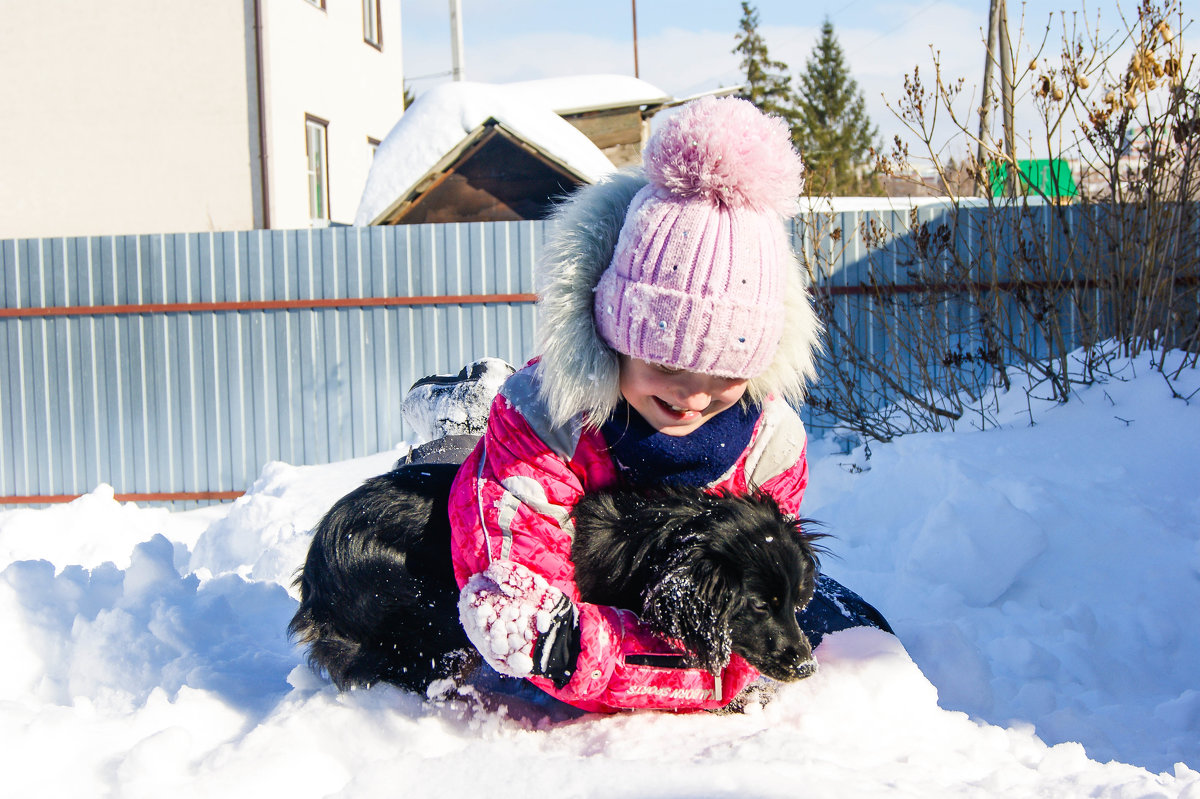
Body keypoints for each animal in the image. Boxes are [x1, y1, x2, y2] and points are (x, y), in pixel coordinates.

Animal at [290, 460, 830, 691]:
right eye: (758, 605)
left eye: (793, 601)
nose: (808, 667)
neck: (659, 544)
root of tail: (318, 560)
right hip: (425, 613)